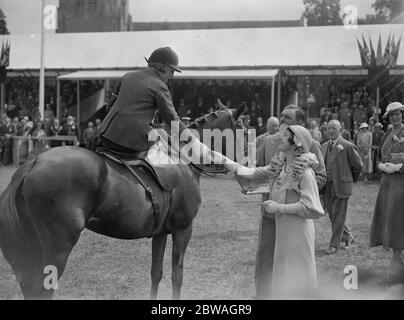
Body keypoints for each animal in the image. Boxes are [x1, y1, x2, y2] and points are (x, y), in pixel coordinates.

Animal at [0, 105, 246, 300]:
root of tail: (33, 164)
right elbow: (177, 276)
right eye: (244, 128)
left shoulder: (161, 233)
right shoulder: (183, 230)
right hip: (57, 248)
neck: (183, 159)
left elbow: (156, 273)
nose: (245, 159)